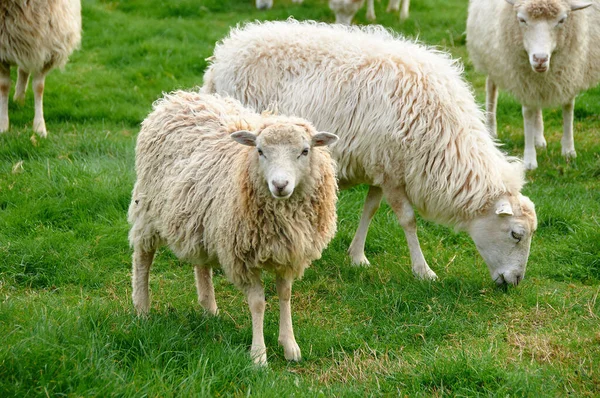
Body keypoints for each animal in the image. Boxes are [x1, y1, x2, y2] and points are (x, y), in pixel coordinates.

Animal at [0, 0, 81, 137]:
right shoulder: (2, 54)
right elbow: (4, 86)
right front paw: (3, 125)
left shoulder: (44, 50)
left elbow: (39, 88)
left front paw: (39, 127)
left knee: (23, 70)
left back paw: (19, 99)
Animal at [127, 91, 338, 366]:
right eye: (260, 151)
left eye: (305, 151)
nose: (280, 185)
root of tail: (178, 97)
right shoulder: (243, 258)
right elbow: (258, 304)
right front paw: (258, 356)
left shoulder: (288, 253)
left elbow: (285, 295)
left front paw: (290, 346)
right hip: (147, 209)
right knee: (143, 257)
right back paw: (142, 309)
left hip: (200, 219)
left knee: (201, 264)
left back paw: (209, 308)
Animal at [203, 20, 540, 286]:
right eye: (516, 234)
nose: (514, 282)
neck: (446, 140)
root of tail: (223, 54)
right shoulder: (392, 170)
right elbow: (408, 220)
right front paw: (423, 271)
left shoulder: (380, 165)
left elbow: (371, 209)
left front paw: (357, 256)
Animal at [466, 0, 600, 169]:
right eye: (522, 20)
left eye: (562, 20)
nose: (540, 59)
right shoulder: (524, 79)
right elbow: (528, 113)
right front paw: (530, 160)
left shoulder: (570, 72)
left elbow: (568, 109)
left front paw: (569, 151)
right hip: (492, 59)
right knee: (491, 88)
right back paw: (491, 129)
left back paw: (539, 139)